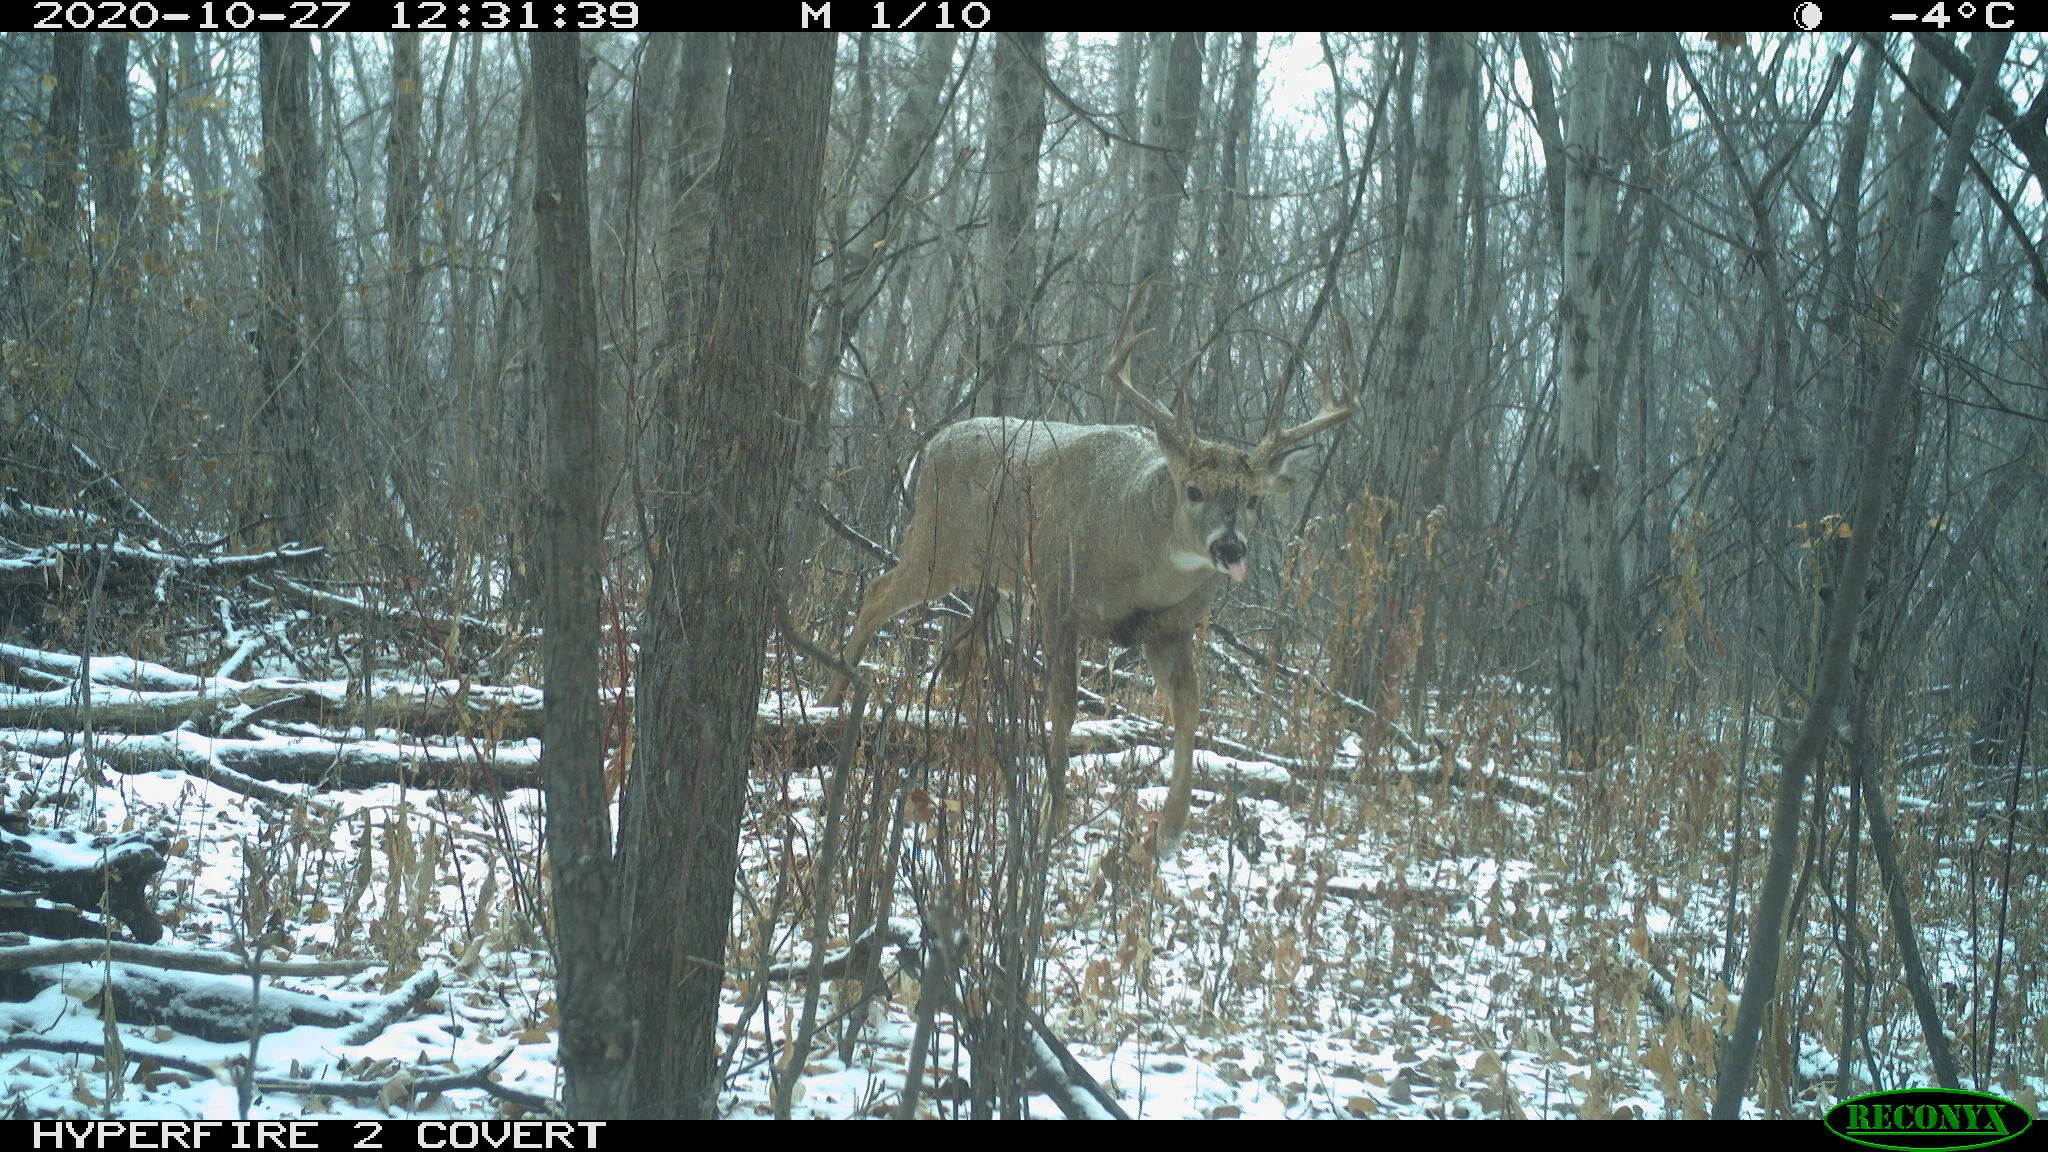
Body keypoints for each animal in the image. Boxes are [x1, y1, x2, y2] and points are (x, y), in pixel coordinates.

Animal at [822, 320, 1353, 850]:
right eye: (1194, 490)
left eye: (1254, 500)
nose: (1230, 547)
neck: (1136, 559)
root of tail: (935, 441)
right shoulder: (1060, 595)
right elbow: (1064, 702)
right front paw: (1050, 819)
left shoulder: (1172, 626)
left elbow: (1189, 706)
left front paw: (1170, 827)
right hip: (938, 544)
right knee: (877, 593)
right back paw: (831, 701)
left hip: (999, 581)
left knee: (969, 646)